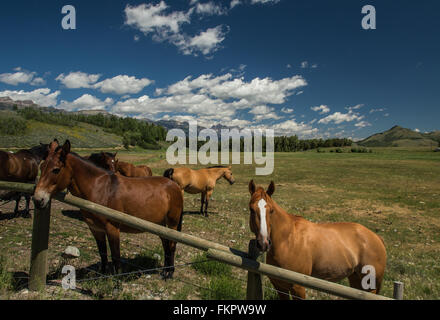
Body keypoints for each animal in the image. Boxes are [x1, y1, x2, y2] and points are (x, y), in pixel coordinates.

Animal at [33, 139, 183, 278]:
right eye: (41, 167)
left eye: (56, 170)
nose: (38, 199)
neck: (100, 189)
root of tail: (173, 184)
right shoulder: (96, 229)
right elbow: (103, 253)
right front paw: (102, 275)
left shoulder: (113, 229)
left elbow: (116, 257)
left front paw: (117, 283)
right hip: (160, 224)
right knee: (166, 244)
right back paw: (165, 270)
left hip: (172, 223)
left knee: (172, 245)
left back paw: (169, 272)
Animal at [248, 180, 388, 300]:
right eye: (251, 209)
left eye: (271, 211)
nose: (263, 243)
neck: (287, 241)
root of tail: (376, 237)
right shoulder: (279, 286)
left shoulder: (298, 287)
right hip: (356, 280)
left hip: (369, 287)